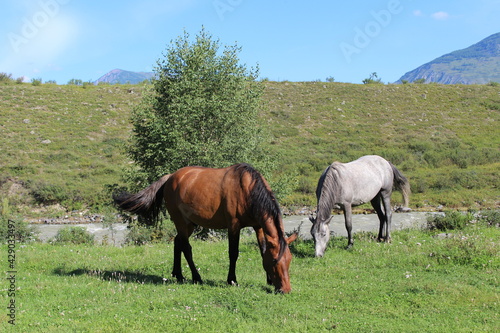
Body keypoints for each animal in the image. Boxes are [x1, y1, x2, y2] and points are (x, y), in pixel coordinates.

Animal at [115, 162, 296, 292]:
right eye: (275, 261)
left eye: (289, 259)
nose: (285, 289)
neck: (247, 189)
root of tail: (170, 177)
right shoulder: (234, 226)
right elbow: (233, 253)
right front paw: (232, 280)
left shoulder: (258, 226)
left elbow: (262, 250)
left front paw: (269, 280)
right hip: (180, 221)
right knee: (186, 247)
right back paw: (196, 277)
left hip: (189, 223)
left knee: (177, 242)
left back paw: (178, 275)